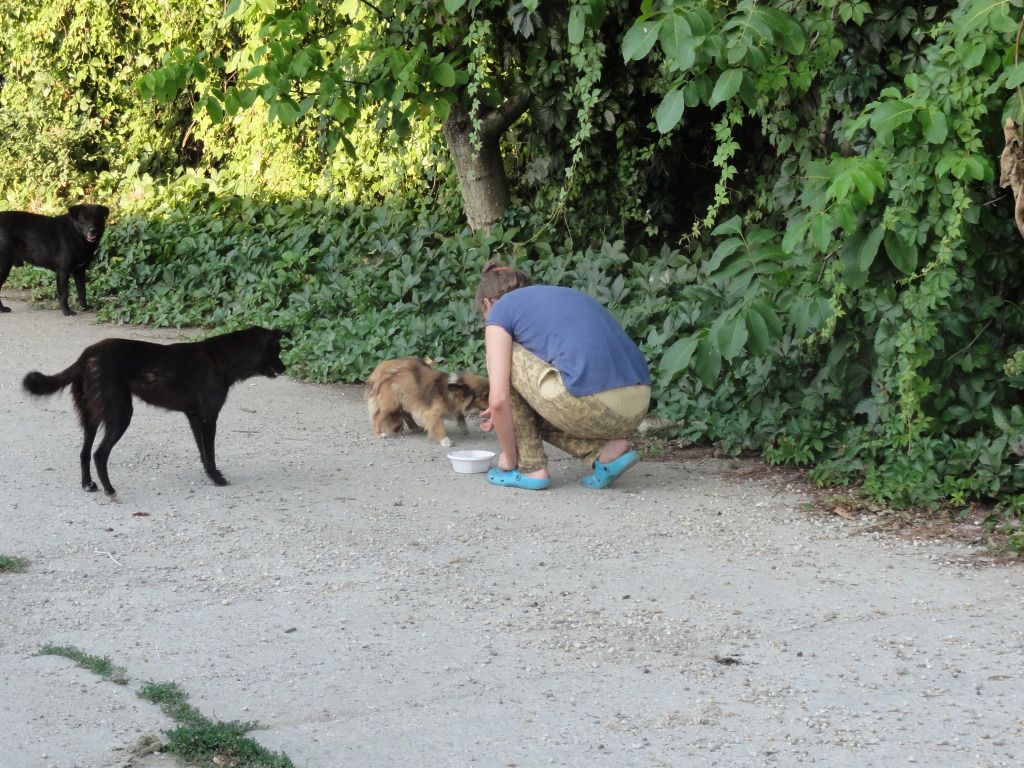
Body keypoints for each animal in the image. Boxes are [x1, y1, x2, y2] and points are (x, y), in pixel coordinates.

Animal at [24, 325, 288, 495]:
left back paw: (89, 485)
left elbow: (203, 453)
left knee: (84, 453)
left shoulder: (194, 417)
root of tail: (87, 356)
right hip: (120, 415)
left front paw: (210, 475)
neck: (222, 358)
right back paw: (109, 489)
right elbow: (210, 453)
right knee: (99, 454)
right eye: (276, 351)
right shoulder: (208, 417)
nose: (285, 369)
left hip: (91, 417)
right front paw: (217, 479)